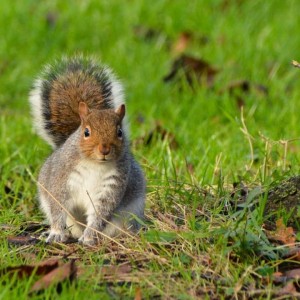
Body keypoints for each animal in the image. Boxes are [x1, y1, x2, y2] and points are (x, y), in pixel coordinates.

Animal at [29, 56, 145, 246]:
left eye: (119, 132)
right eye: (86, 132)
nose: (104, 149)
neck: (94, 164)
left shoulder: (111, 186)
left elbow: (100, 214)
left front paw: (89, 236)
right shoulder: (61, 180)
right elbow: (58, 207)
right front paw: (56, 233)